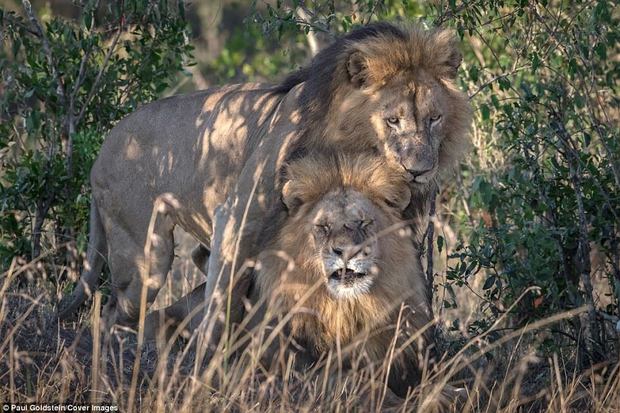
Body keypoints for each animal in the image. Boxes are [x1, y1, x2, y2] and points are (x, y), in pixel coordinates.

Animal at [60, 23, 472, 344]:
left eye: (434, 118)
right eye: (392, 120)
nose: (418, 170)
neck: (348, 150)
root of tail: (101, 151)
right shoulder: (236, 217)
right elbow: (220, 305)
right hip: (146, 255)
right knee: (114, 314)